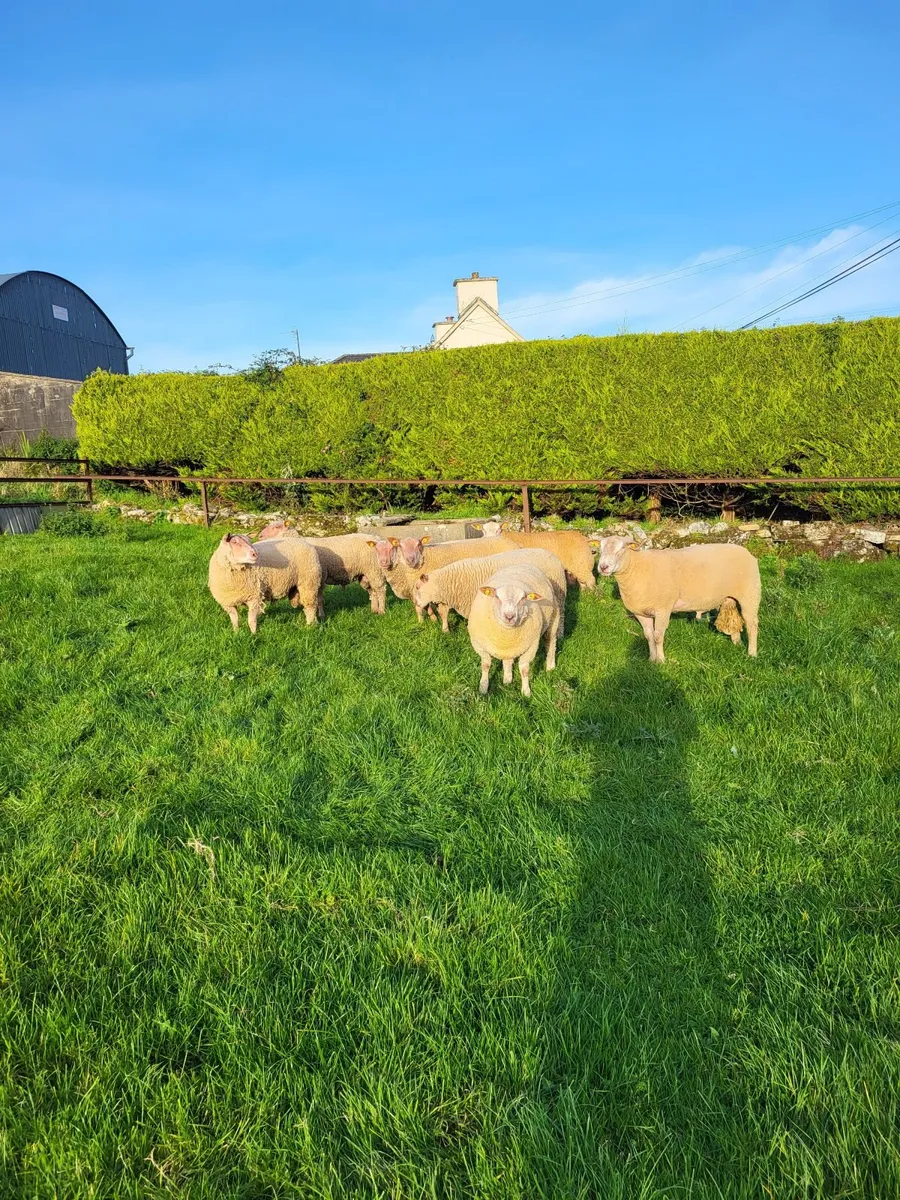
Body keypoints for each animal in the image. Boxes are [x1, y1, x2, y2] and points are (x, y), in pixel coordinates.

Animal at [413, 548, 567, 634]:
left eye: (418, 587)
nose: (416, 604)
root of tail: (553, 556)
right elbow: (443, 614)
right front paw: (445, 631)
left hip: (559, 595)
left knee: (561, 616)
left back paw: (559, 634)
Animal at [468, 563, 562, 697]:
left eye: (522, 598)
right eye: (497, 596)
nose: (509, 616)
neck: (505, 635)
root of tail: (522, 564)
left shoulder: (532, 646)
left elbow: (524, 669)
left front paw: (526, 692)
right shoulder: (478, 644)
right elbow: (485, 665)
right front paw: (483, 687)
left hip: (553, 619)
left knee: (551, 643)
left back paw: (550, 667)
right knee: (508, 659)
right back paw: (507, 680)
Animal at [594, 535, 760, 662]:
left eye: (622, 548)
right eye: (600, 549)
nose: (603, 567)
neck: (637, 567)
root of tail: (748, 553)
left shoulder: (663, 608)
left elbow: (658, 636)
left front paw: (661, 661)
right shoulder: (640, 613)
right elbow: (648, 636)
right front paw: (651, 659)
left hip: (751, 595)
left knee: (752, 625)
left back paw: (751, 653)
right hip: (729, 596)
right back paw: (736, 643)